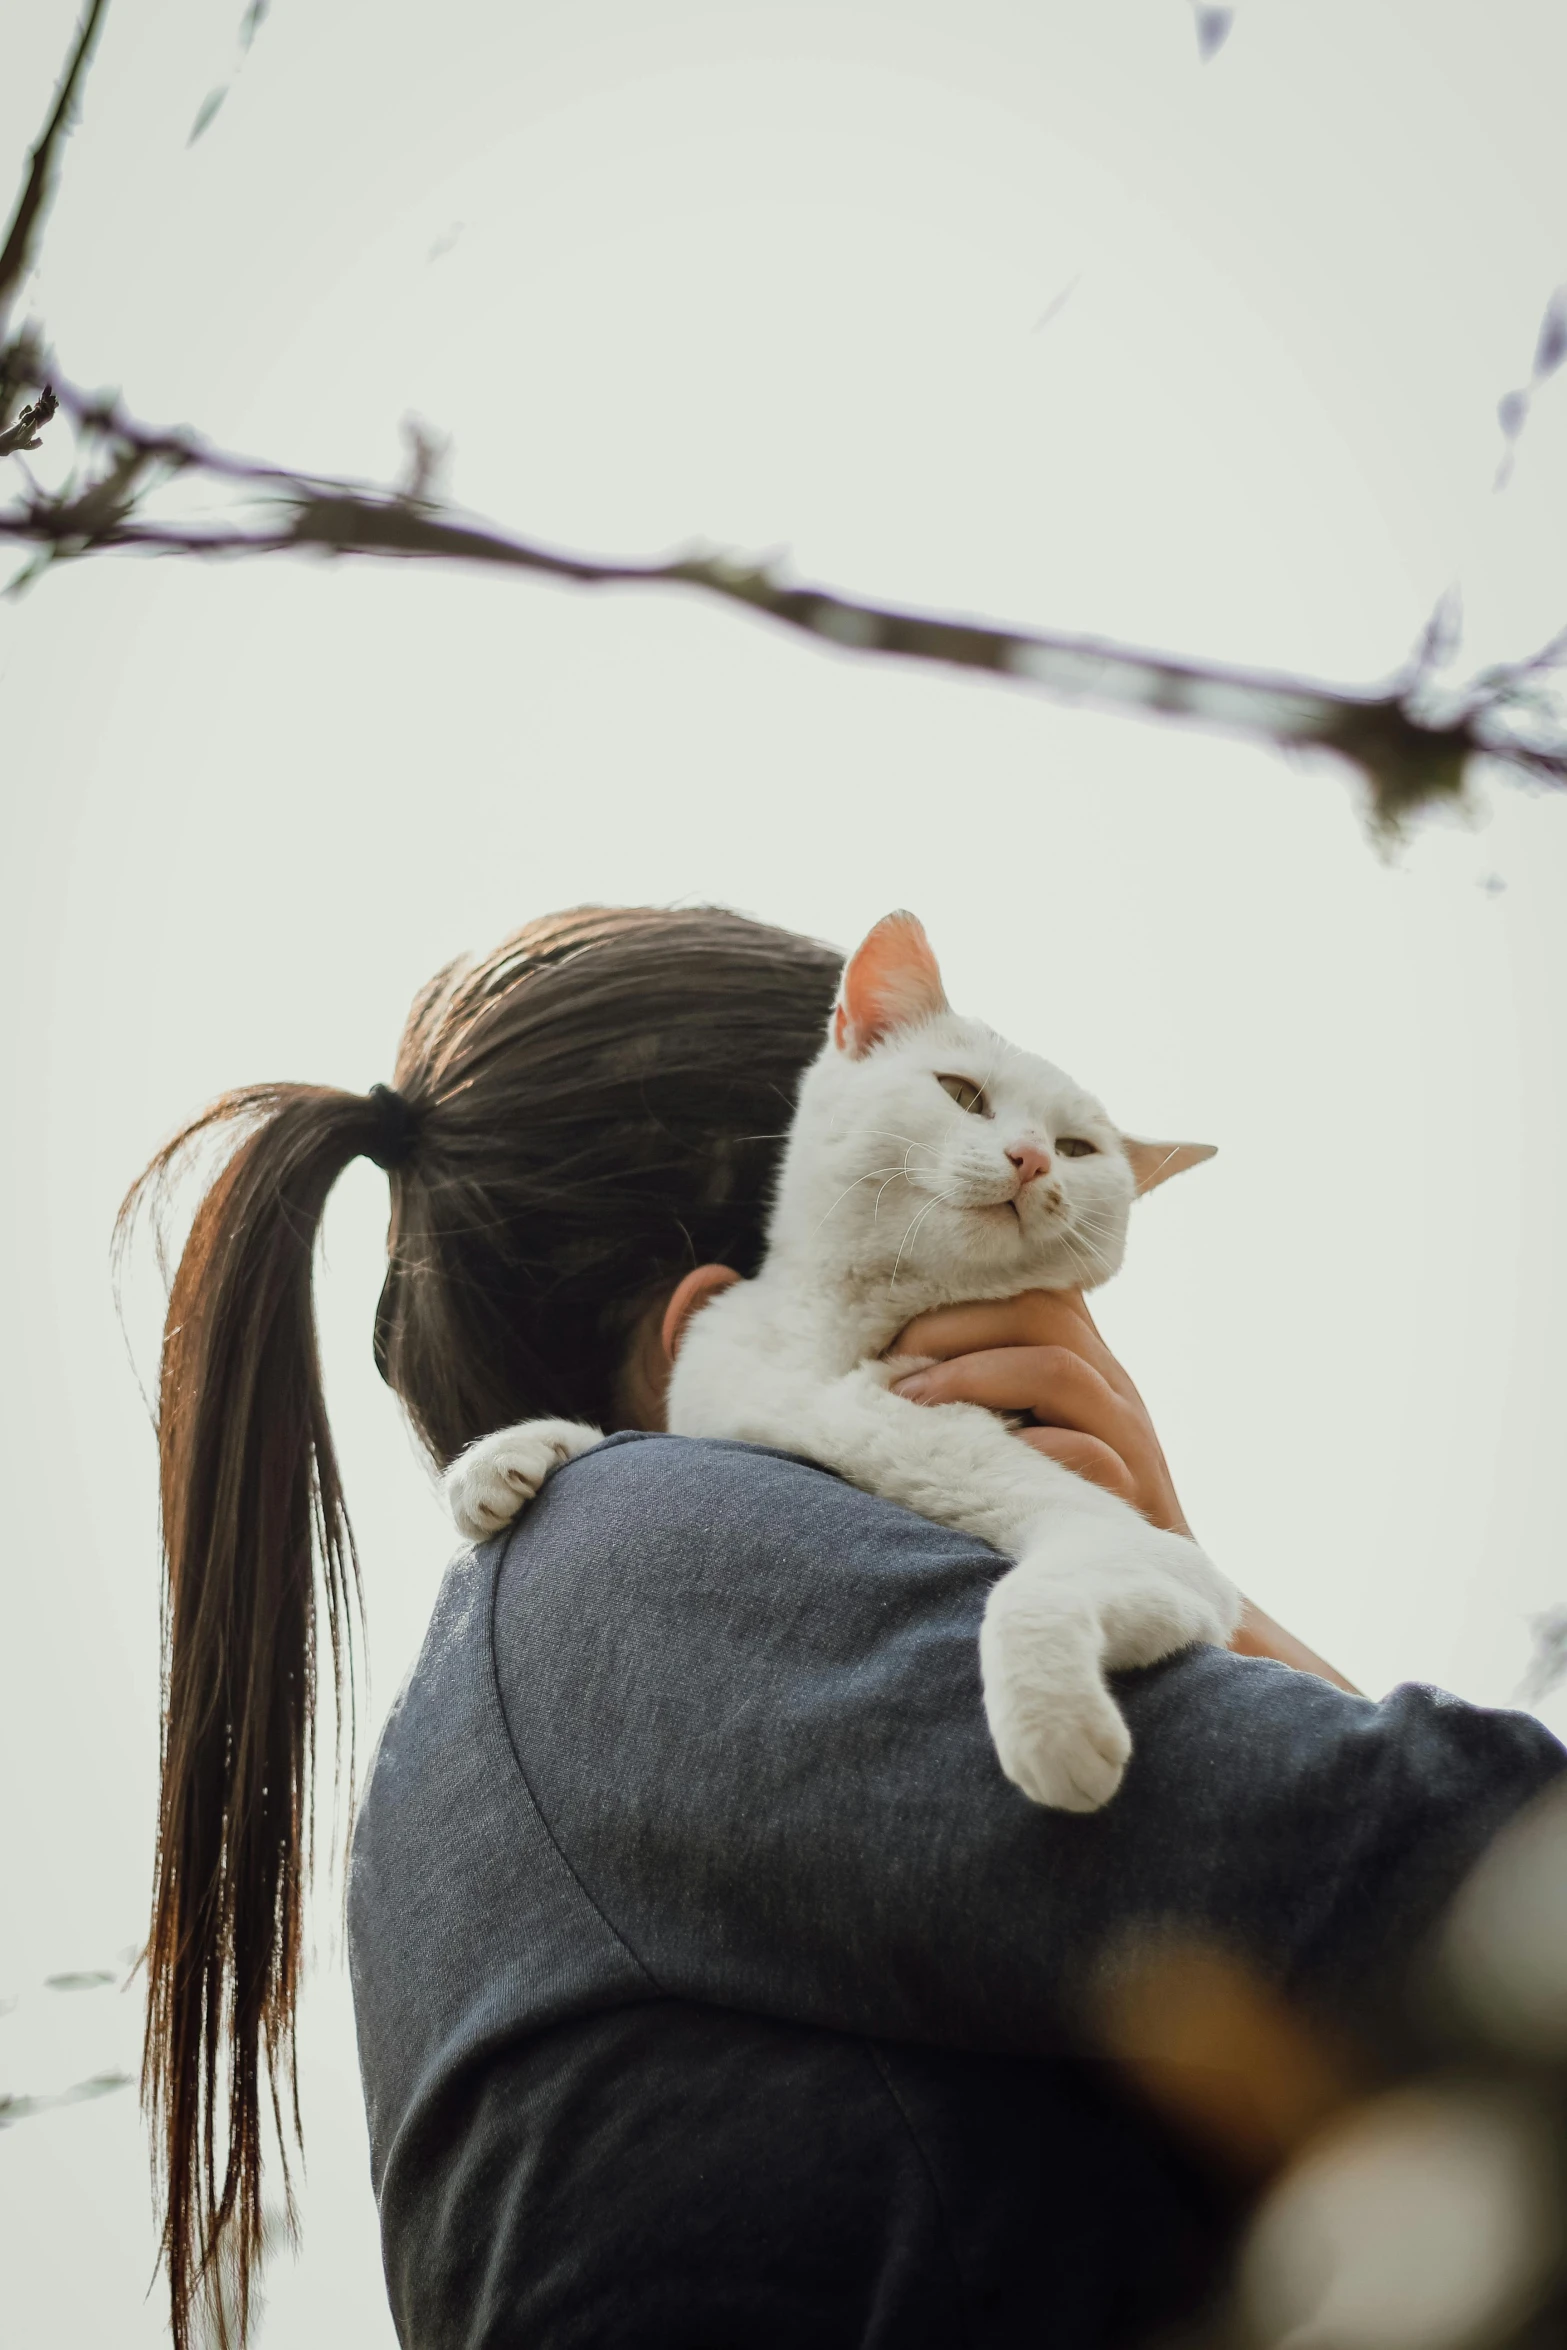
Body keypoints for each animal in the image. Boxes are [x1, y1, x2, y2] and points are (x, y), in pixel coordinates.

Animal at [446, 907, 1240, 1804]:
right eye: (962, 1095)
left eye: (1076, 1149)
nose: (1033, 1160)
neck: (831, 1337)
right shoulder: (724, 1393)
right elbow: (648, 1431)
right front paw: (508, 1454)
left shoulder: (1145, 1552)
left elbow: (1035, 1591)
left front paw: (1053, 1729)